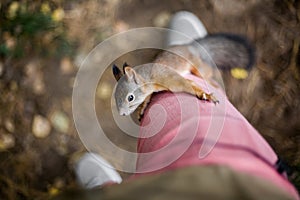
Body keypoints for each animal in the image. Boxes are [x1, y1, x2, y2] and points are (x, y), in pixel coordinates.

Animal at [113, 33, 255, 119]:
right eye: (115, 97)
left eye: (130, 97)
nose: (122, 114)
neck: (150, 79)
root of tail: (192, 47)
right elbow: (148, 96)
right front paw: (143, 107)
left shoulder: (171, 79)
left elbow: (188, 84)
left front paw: (205, 95)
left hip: (197, 67)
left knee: (207, 71)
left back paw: (213, 82)